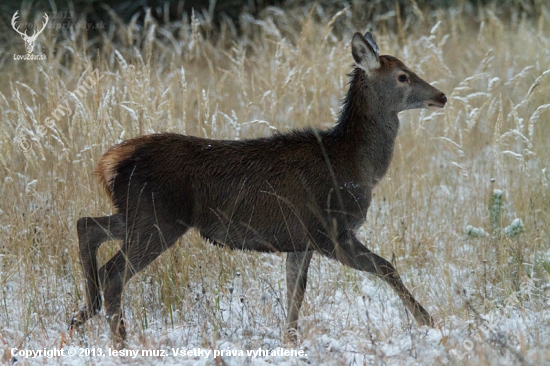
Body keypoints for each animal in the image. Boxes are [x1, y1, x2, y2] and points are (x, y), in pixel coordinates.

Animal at [70, 31, 448, 344]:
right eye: (402, 76)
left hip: (138, 213)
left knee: (87, 225)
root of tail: (108, 162)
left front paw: (289, 341)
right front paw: (428, 321)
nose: (442, 96)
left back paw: (82, 315)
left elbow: (295, 293)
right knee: (113, 272)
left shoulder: (300, 240)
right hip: (158, 218)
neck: (356, 165)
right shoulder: (330, 231)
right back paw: (120, 340)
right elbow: (386, 267)